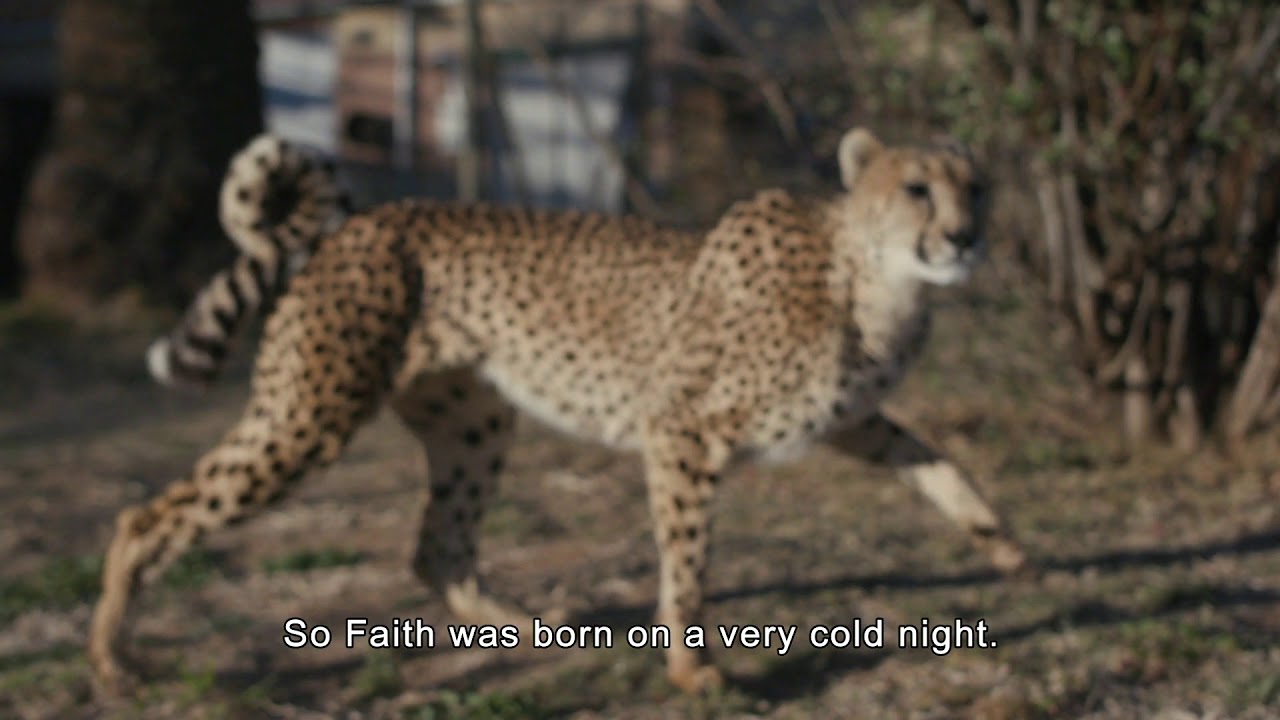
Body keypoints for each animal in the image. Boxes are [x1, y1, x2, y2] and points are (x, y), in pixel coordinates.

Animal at [89, 126, 1033, 698]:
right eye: (918, 189)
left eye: (979, 188)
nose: (966, 237)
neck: (872, 280)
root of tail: (361, 222)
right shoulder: (678, 427)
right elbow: (688, 559)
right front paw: (692, 669)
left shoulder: (846, 418)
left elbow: (932, 459)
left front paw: (1000, 540)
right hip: (308, 417)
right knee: (149, 515)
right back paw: (111, 660)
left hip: (473, 424)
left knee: (436, 547)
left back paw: (530, 631)